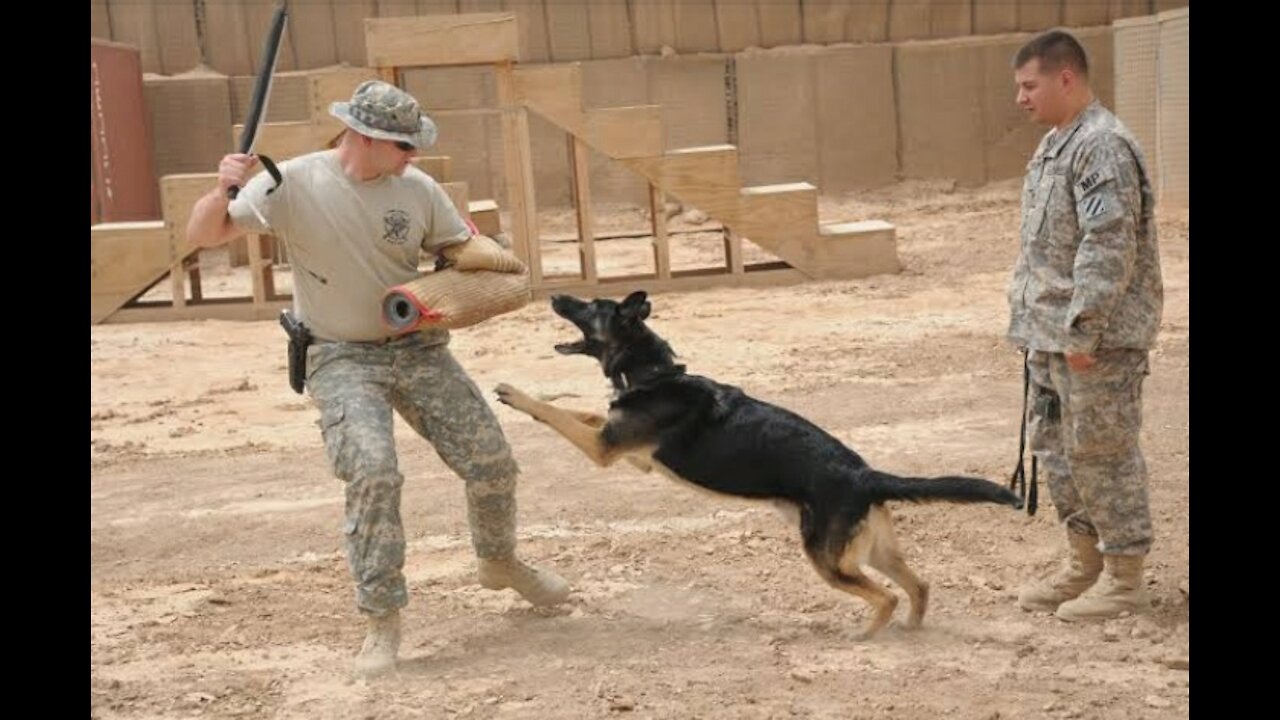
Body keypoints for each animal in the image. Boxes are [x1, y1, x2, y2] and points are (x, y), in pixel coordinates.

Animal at [494, 288, 1024, 635]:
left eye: (590, 307)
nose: (555, 293)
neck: (654, 372)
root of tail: (865, 475)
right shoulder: (618, 443)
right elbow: (582, 411)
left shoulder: (603, 447)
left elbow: (555, 412)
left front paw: (515, 392)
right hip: (872, 551)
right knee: (920, 585)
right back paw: (911, 629)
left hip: (827, 559)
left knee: (887, 595)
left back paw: (865, 635)